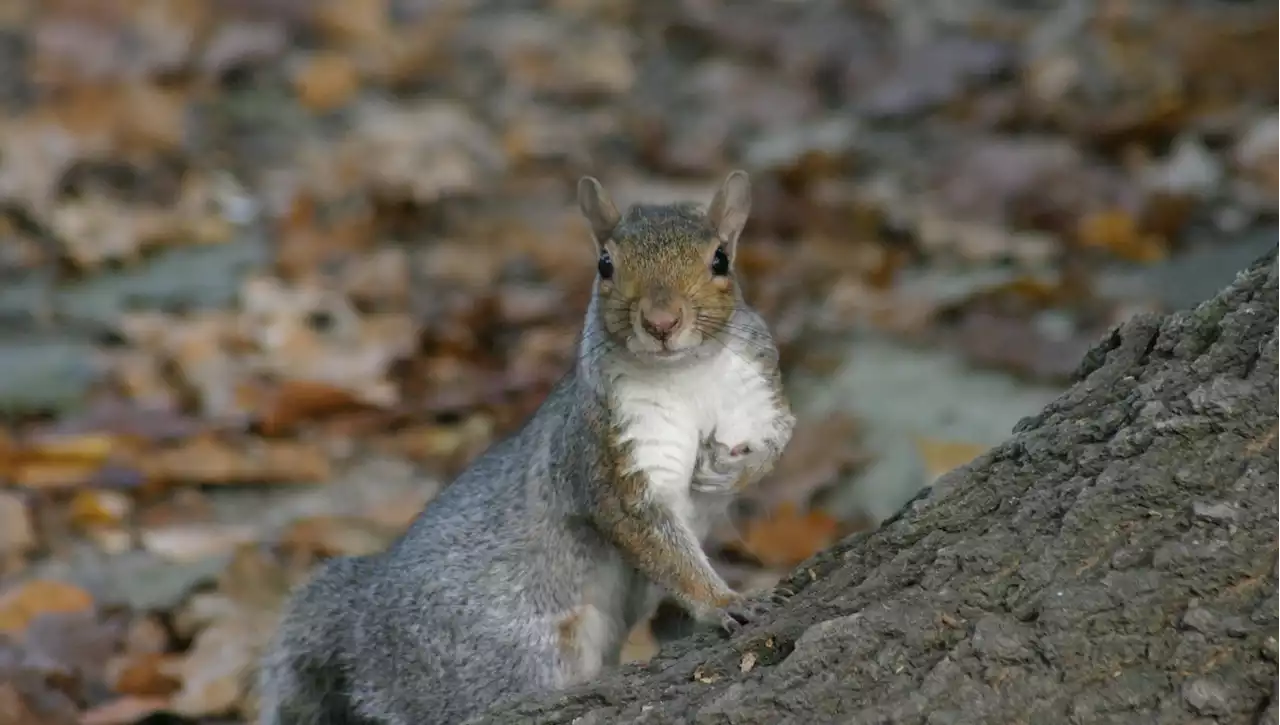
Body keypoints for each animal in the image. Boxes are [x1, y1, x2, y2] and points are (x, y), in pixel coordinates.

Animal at [257, 171, 798, 725]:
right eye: (605, 264)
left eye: (721, 260)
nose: (661, 322)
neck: (685, 375)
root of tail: (362, 627)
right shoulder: (608, 450)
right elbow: (652, 539)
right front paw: (721, 601)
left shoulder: (757, 395)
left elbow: (777, 441)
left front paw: (727, 470)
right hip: (510, 660)